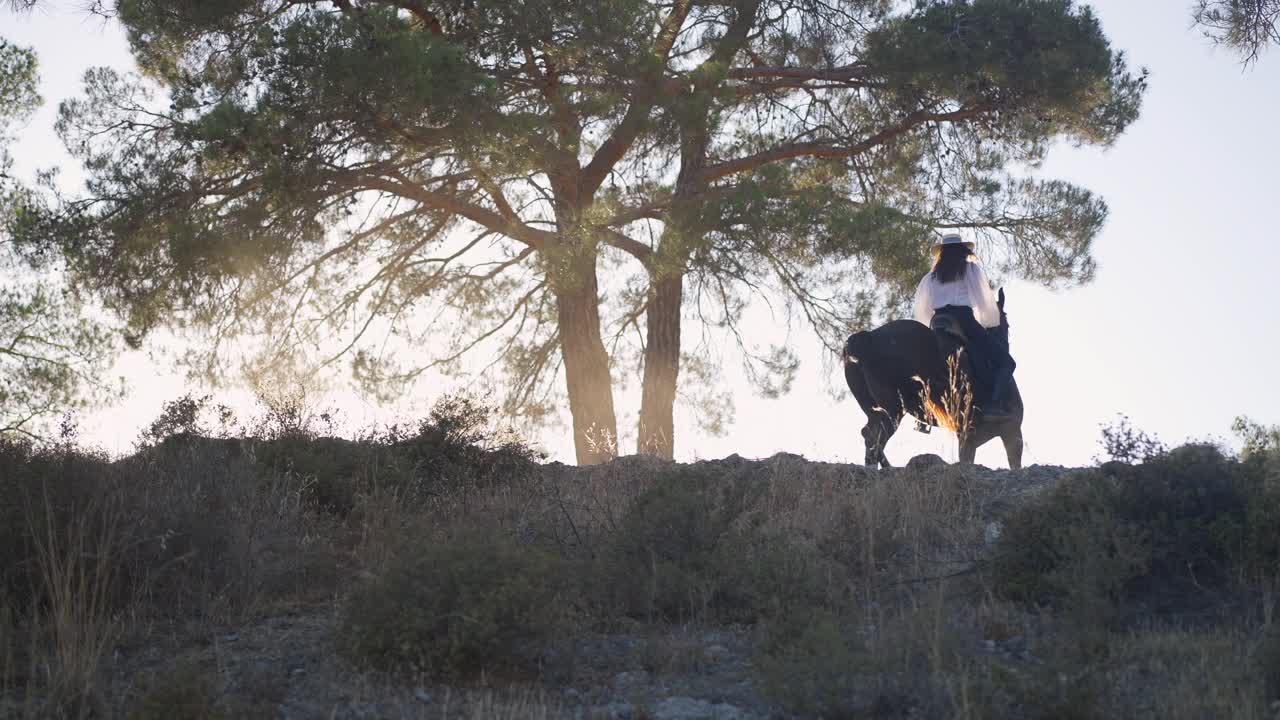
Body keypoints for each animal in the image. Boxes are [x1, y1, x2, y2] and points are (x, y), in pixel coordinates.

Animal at [844, 288, 1024, 468]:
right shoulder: (1010, 432)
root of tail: (867, 340)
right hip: (892, 408)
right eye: (1007, 325)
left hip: (876, 410)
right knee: (874, 437)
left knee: (870, 436)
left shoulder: (972, 439)